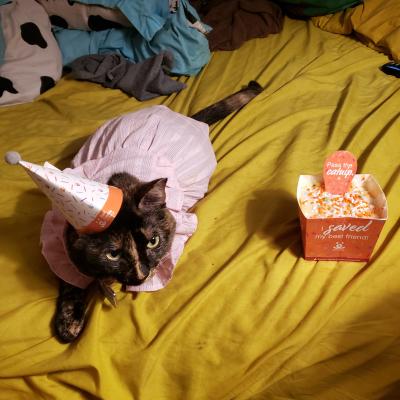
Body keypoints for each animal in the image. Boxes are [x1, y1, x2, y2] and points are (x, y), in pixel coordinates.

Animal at [53, 79, 262, 342]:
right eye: (113, 255)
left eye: (153, 241)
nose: (141, 275)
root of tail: (182, 116)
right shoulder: (59, 235)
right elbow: (69, 278)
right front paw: (68, 322)